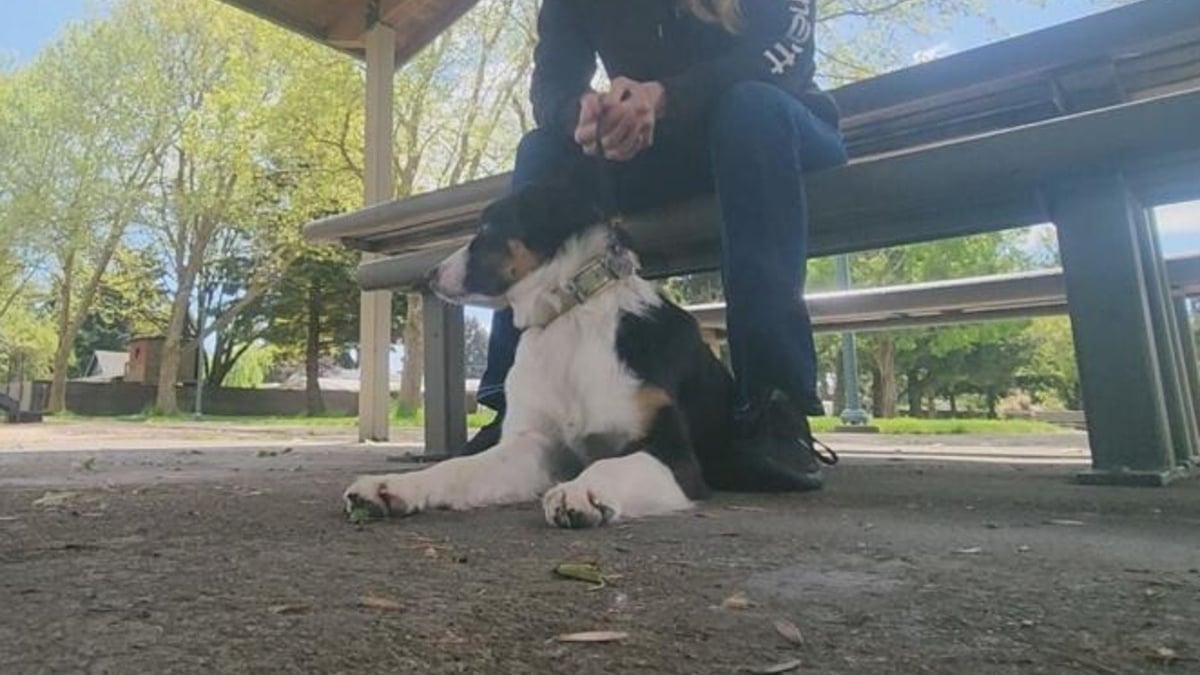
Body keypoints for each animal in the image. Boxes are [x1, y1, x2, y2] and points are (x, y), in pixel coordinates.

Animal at [343, 176, 744, 528]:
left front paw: (584, 490)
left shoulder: (674, 454)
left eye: (487, 228)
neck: (568, 317)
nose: (429, 275)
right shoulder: (537, 445)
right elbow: (458, 468)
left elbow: (609, 465)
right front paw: (395, 486)